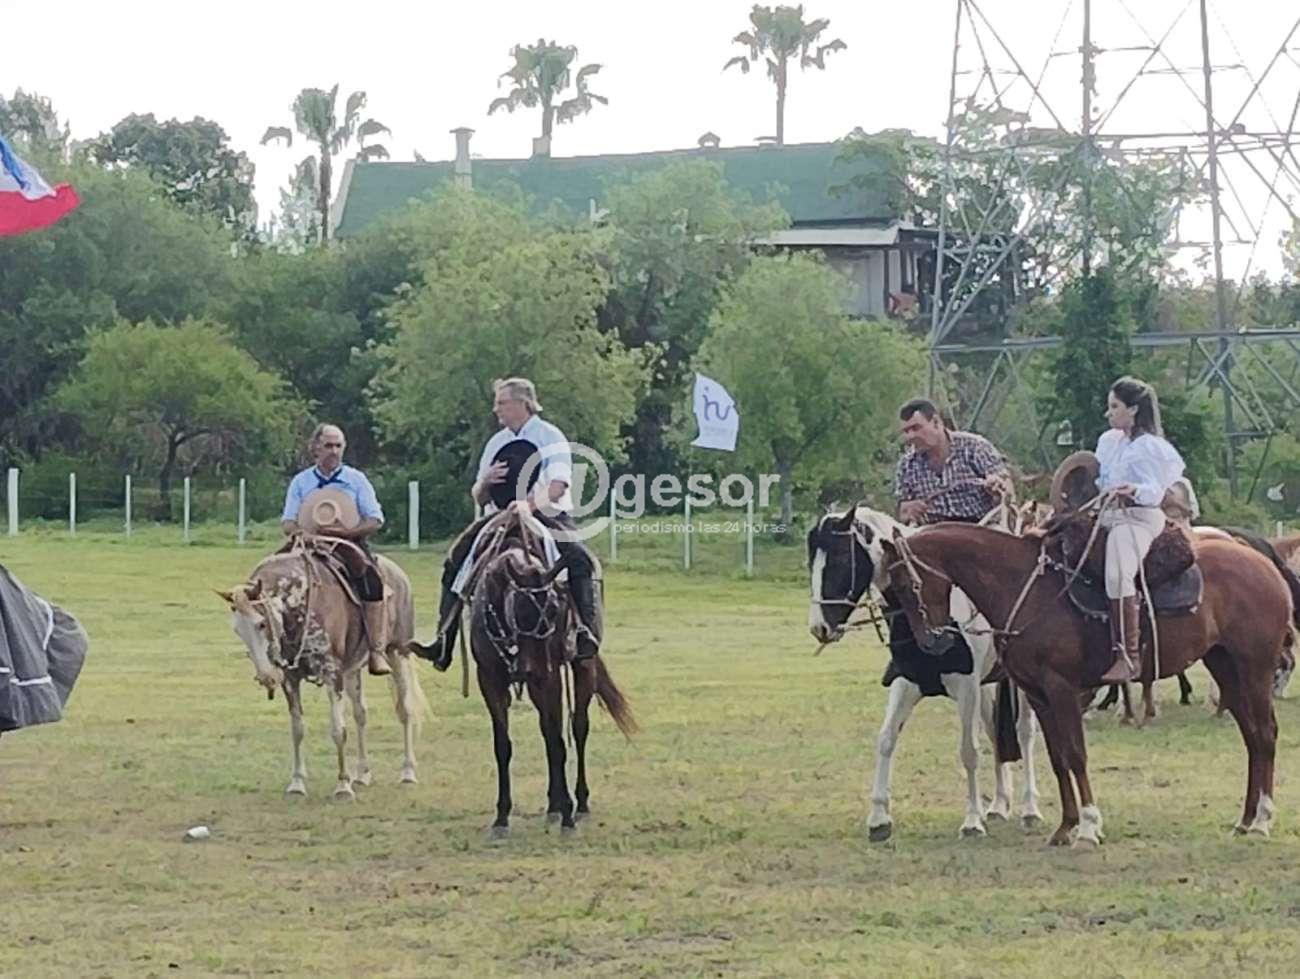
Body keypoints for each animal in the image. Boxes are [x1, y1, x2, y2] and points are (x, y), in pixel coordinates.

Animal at [218, 540, 426, 798]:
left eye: (261, 624)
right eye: (238, 630)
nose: (267, 677)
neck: (300, 603)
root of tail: (398, 574)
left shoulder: (332, 673)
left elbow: (338, 730)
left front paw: (343, 785)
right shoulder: (290, 679)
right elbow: (297, 729)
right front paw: (297, 783)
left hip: (398, 654)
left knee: (405, 710)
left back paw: (408, 771)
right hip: (352, 671)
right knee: (361, 714)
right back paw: (363, 773)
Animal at [451, 504, 636, 837]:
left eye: (553, 607)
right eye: (519, 608)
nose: (529, 667)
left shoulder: (548, 678)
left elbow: (557, 742)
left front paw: (568, 814)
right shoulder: (490, 680)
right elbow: (503, 745)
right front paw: (502, 817)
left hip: (579, 668)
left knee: (577, 728)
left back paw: (578, 802)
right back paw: (554, 804)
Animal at [807, 503, 1042, 841]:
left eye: (840, 559)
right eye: (810, 561)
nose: (819, 628)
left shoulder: (966, 688)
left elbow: (969, 751)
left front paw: (972, 820)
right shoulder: (906, 683)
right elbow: (886, 739)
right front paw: (879, 819)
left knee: (1024, 733)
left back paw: (1030, 809)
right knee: (994, 730)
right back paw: (998, 804)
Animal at [881, 517, 1292, 845]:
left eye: (902, 583)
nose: (931, 643)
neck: (1023, 588)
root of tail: (1265, 564)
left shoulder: (1062, 688)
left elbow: (1076, 754)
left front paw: (1090, 826)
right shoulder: (1039, 695)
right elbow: (1058, 757)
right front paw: (1066, 826)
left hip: (1255, 669)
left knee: (1266, 734)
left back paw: (1263, 820)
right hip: (1226, 667)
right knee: (1252, 737)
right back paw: (1245, 819)